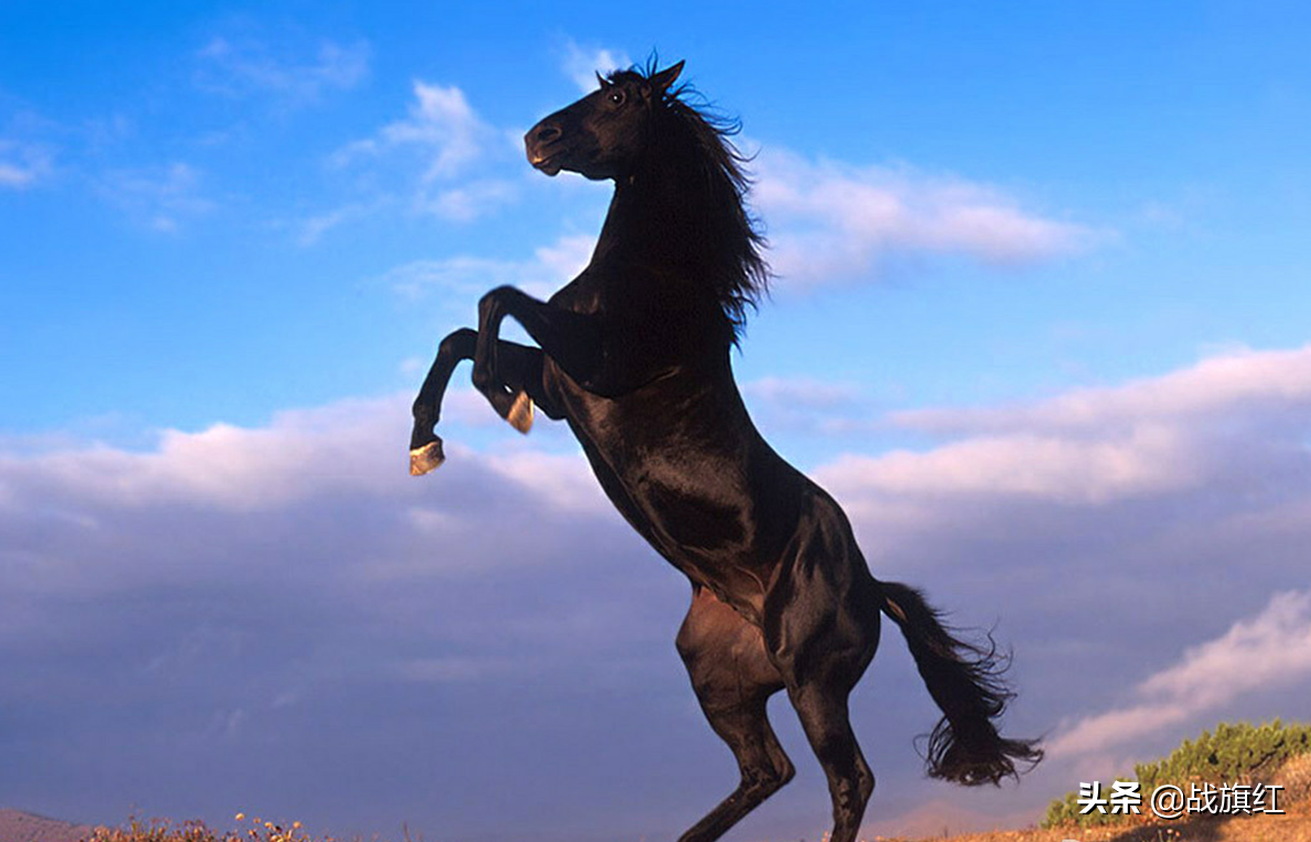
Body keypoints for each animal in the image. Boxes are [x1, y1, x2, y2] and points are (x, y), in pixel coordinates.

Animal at [408, 59, 1040, 842]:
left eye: (619, 97)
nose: (537, 139)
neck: (655, 275)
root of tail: (872, 586)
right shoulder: (561, 385)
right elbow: (459, 337)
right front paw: (424, 444)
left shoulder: (593, 365)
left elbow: (496, 303)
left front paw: (498, 400)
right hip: (719, 678)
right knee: (768, 771)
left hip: (810, 680)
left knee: (847, 779)